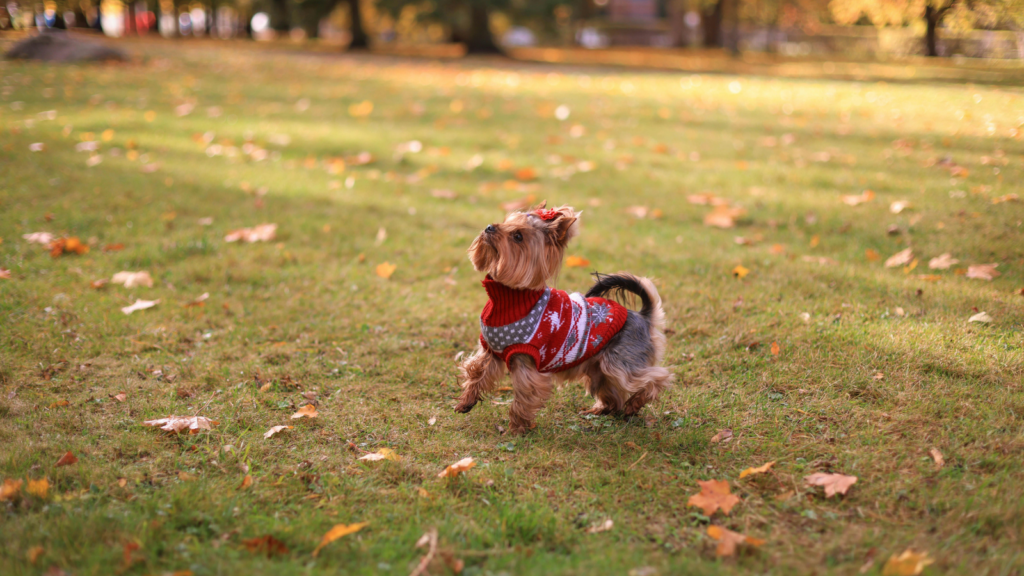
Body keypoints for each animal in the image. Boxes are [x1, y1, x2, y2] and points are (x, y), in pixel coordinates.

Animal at [456, 201, 671, 430]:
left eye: (518, 236)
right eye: (505, 222)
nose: (489, 227)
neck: (510, 299)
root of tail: (643, 317)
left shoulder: (526, 359)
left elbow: (524, 394)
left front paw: (518, 428)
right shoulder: (492, 352)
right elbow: (476, 372)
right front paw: (466, 401)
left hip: (620, 362)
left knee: (658, 378)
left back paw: (634, 403)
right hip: (599, 367)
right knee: (613, 394)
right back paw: (601, 410)